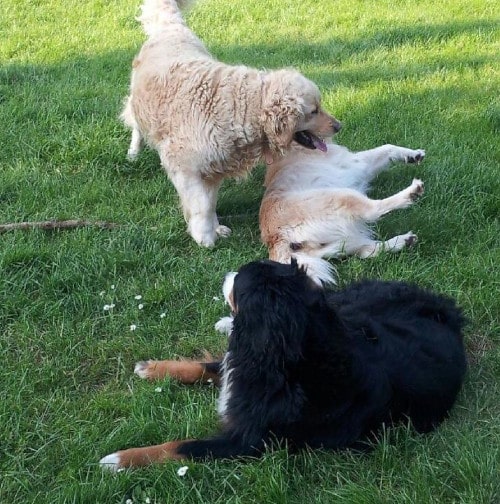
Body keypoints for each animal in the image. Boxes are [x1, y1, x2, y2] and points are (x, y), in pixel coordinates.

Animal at [99, 260, 466, 468]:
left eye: (240, 280)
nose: (226, 273)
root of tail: (448, 307)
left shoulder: (247, 441)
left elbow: (180, 447)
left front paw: (120, 459)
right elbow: (207, 367)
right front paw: (153, 368)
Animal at [121, 0, 340, 246]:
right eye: (314, 111)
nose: (338, 126)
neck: (242, 105)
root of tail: (171, 26)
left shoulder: (212, 168)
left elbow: (210, 203)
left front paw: (215, 228)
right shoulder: (185, 167)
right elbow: (201, 205)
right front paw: (204, 236)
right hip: (138, 106)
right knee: (135, 124)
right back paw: (133, 152)